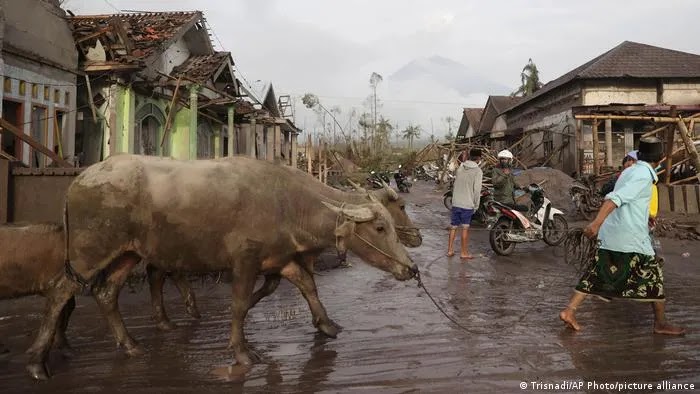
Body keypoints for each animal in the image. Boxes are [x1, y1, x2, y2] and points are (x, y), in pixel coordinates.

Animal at [27, 154, 418, 378]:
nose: (411, 269)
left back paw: (131, 345)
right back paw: (36, 362)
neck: (287, 201)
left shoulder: (279, 260)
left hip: (129, 253)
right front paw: (242, 352)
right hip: (89, 253)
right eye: (380, 228)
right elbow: (240, 305)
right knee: (61, 292)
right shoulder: (244, 262)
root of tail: (79, 180)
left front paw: (327, 325)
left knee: (107, 293)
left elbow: (307, 285)